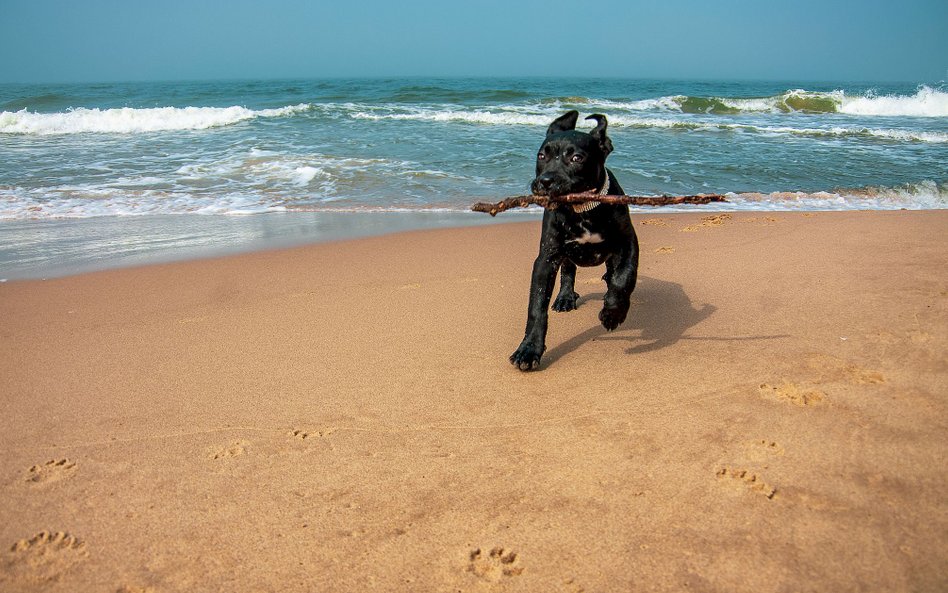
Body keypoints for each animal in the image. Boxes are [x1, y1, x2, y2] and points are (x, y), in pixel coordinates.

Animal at [512, 111, 636, 370]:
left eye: (577, 158)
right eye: (542, 156)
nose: (545, 181)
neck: (582, 209)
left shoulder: (628, 242)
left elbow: (624, 277)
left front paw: (613, 313)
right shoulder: (546, 259)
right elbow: (537, 308)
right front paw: (529, 349)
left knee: (612, 272)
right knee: (568, 271)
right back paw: (565, 297)